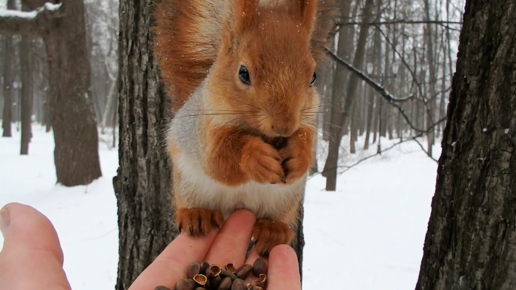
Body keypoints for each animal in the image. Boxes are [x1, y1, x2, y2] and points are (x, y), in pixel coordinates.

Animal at [154, 0, 334, 254]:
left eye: (314, 76)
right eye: (243, 73)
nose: (284, 126)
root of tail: (237, 207)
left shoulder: (309, 119)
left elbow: (306, 140)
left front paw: (298, 156)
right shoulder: (206, 126)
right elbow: (218, 158)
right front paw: (256, 157)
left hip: (286, 199)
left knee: (276, 219)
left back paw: (273, 230)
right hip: (188, 184)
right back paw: (197, 214)